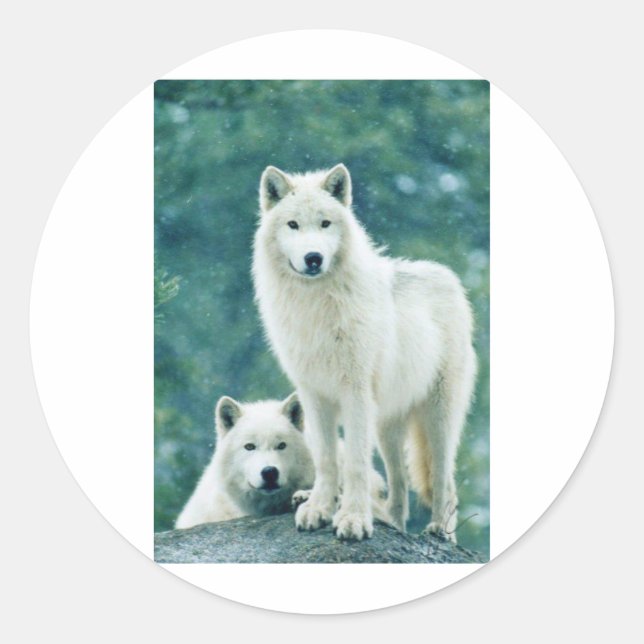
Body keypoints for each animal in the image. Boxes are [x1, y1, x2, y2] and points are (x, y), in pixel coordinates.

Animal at [253, 164, 477, 541]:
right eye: (293, 224)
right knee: (398, 490)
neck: (315, 307)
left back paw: (440, 532)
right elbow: (326, 458)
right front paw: (318, 508)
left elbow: (355, 462)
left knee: (444, 478)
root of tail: (447, 275)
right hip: (387, 425)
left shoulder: (354, 391)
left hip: (437, 416)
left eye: (325, 223)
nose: (313, 258)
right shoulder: (314, 394)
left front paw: (353, 519)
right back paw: (389, 522)